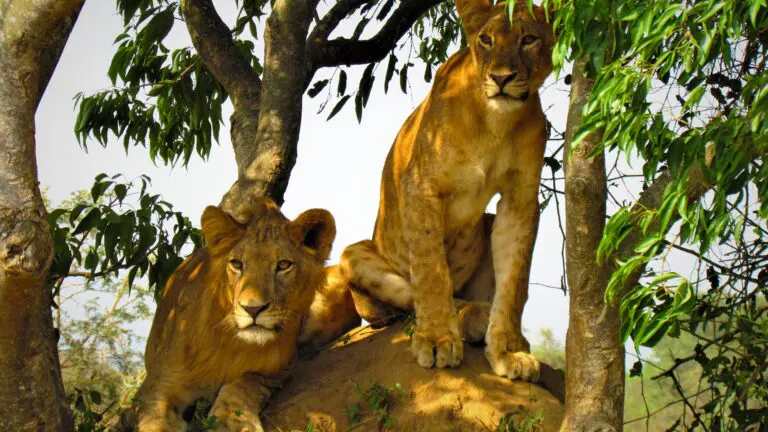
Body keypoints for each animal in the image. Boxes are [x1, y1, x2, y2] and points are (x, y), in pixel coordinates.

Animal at [132, 197, 358, 431]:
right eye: (237, 264)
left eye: (283, 265)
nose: (252, 309)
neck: (232, 343)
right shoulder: (157, 387)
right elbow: (156, 422)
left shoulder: (275, 368)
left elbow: (244, 384)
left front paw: (233, 422)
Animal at [339, 0, 555, 383]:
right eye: (486, 40)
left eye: (529, 39)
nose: (502, 78)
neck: (496, 122)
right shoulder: (421, 185)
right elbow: (431, 272)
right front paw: (438, 340)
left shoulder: (521, 200)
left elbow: (514, 281)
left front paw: (508, 351)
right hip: (354, 256)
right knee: (412, 300)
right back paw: (471, 317)